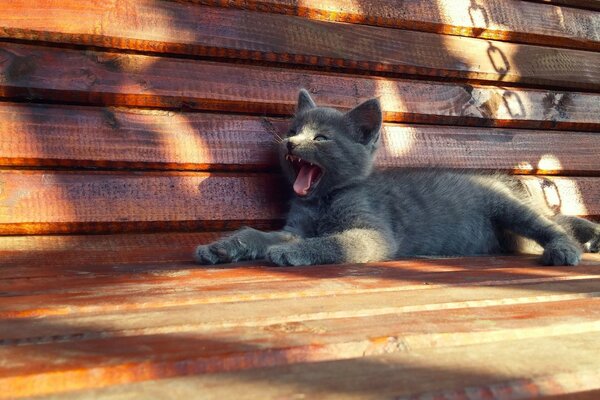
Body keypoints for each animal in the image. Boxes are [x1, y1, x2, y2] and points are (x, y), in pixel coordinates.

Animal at [195, 89, 596, 268]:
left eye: (321, 137)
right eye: (293, 130)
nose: (291, 143)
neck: (325, 199)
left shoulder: (374, 232)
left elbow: (334, 241)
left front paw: (292, 252)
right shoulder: (297, 224)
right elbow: (259, 234)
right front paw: (222, 247)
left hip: (508, 206)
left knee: (551, 224)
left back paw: (566, 249)